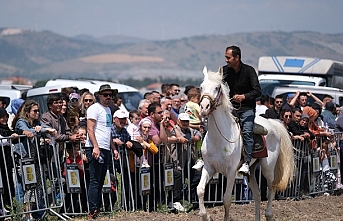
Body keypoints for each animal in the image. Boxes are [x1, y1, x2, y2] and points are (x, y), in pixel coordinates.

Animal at [198, 66, 296, 221]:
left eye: (217, 87)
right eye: (201, 87)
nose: (204, 107)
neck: (219, 138)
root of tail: (272, 123)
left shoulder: (231, 171)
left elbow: (226, 199)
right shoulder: (209, 168)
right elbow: (200, 190)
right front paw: (206, 217)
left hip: (267, 168)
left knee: (271, 187)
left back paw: (269, 214)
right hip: (251, 171)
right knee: (257, 194)